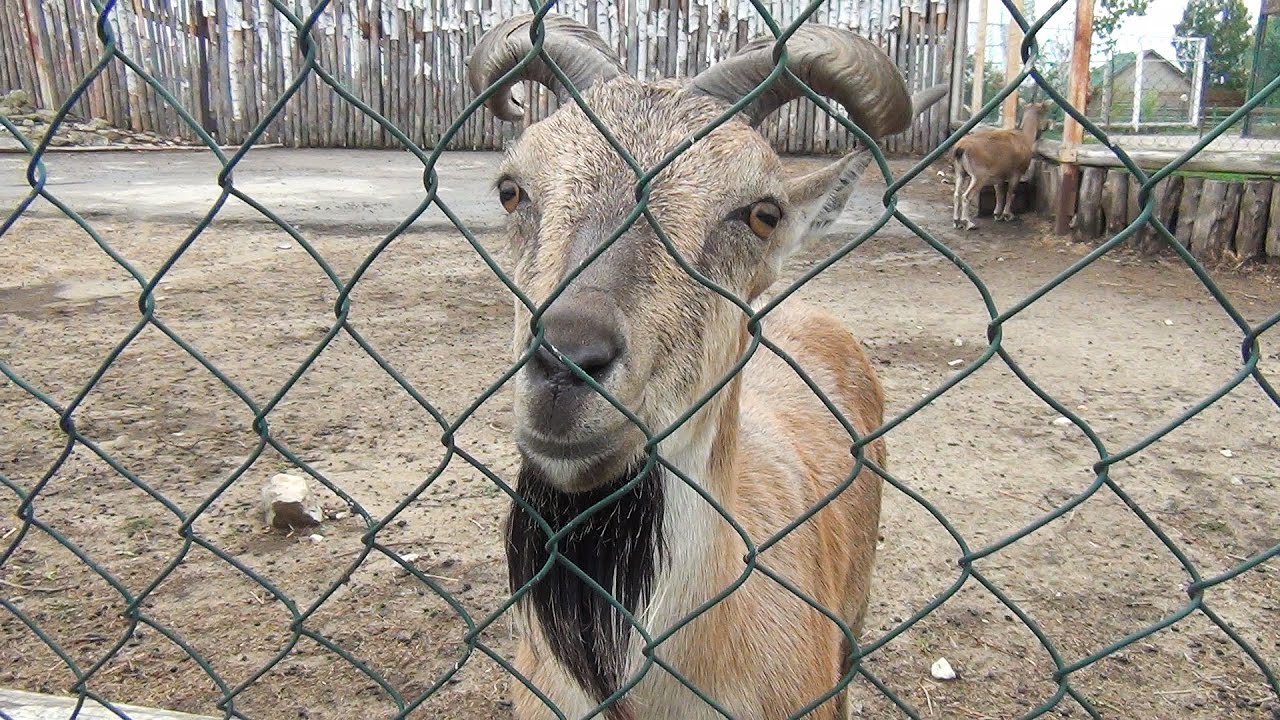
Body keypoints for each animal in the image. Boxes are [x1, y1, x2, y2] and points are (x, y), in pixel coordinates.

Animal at [950, 101, 1050, 230]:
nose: (1047, 126)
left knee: (957, 194)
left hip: (960, 172)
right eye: (1044, 111)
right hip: (979, 176)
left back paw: (956, 221)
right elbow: (1011, 191)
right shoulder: (1016, 172)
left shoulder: (999, 175)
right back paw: (968, 223)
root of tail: (961, 148)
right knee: (966, 196)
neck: (1024, 137)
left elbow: (999, 192)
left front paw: (997, 214)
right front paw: (1007, 215)